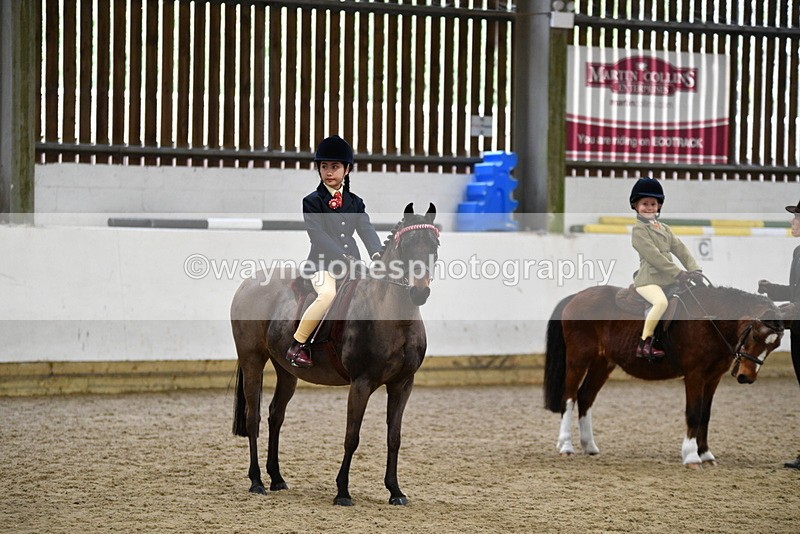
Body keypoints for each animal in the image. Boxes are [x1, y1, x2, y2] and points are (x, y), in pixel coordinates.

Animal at [230, 203, 439, 505]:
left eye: (434, 245)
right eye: (408, 245)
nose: (419, 292)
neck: (393, 316)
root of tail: (249, 283)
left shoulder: (402, 384)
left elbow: (394, 437)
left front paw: (395, 491)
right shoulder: (362, 383)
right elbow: (352, 436)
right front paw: (342, 491)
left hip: (287, 370)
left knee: (275, 415)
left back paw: (277, 478)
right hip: (252, 360)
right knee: (253, 417)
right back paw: (257, 481)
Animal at [543, 283, 785, 467]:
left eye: (775, 345)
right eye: (755, 335)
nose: (746, 376)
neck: (709, 320)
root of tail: (577, 296)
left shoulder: (713, 377)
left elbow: (705, 415)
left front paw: (706, 454)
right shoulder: (695, 375)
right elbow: (694, 413)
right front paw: (691, 456)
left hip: (603, 364)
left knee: (585, 397)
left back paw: (590, 446)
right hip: (578, 360)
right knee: (569, 398)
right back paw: (566, 445)